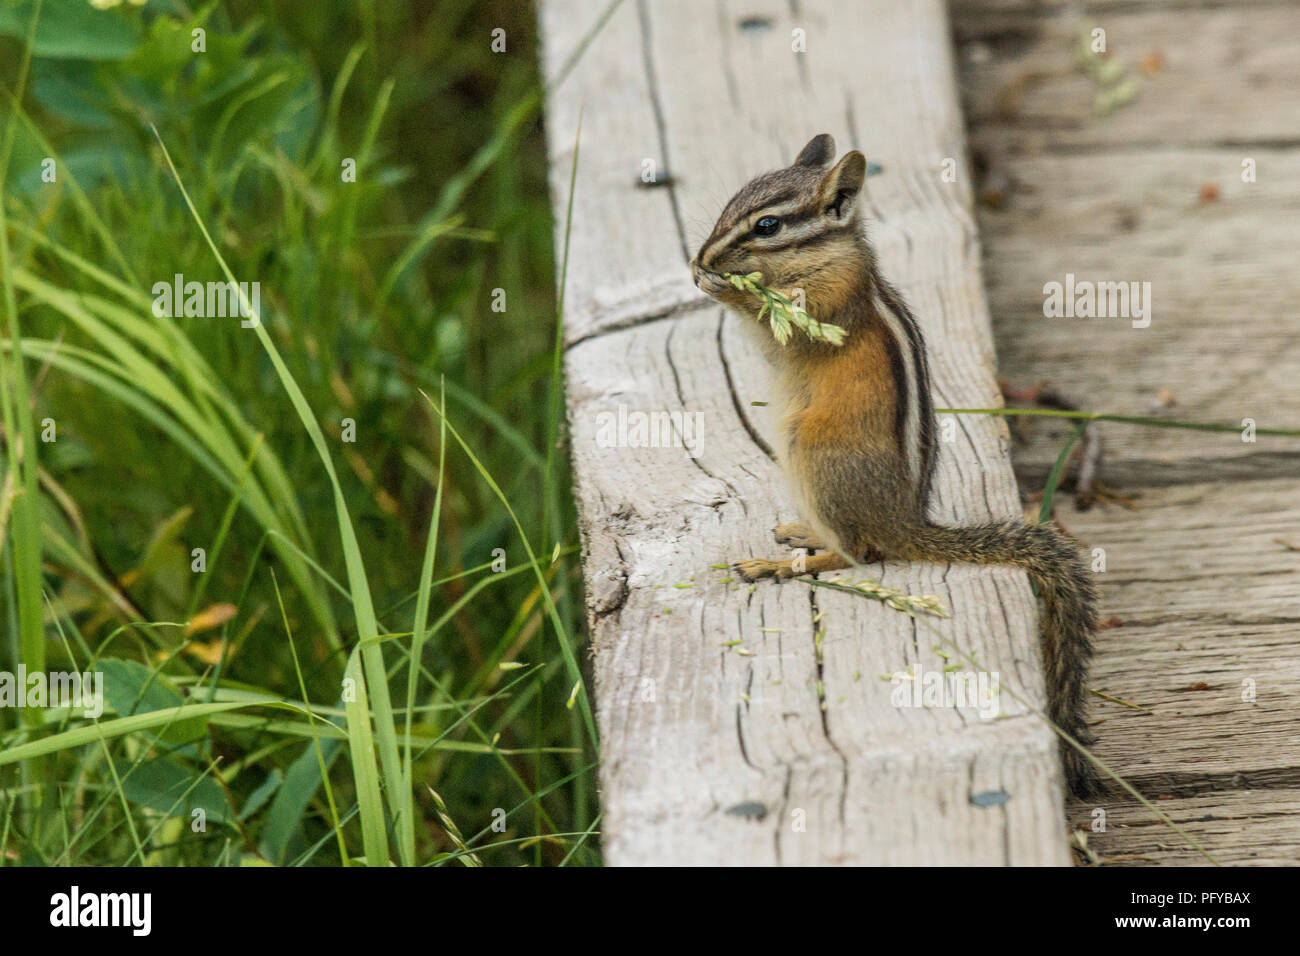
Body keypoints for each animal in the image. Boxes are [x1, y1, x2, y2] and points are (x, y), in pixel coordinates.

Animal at [690, 133, 1100, 798]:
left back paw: (788, 563)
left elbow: (785, 326)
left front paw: (724, 286)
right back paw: (799, 533)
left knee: (860, 553)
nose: (702, 255)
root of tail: (905, 523)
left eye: (767, 225)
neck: (823, 256)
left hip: (812, 453)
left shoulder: (827, 304)